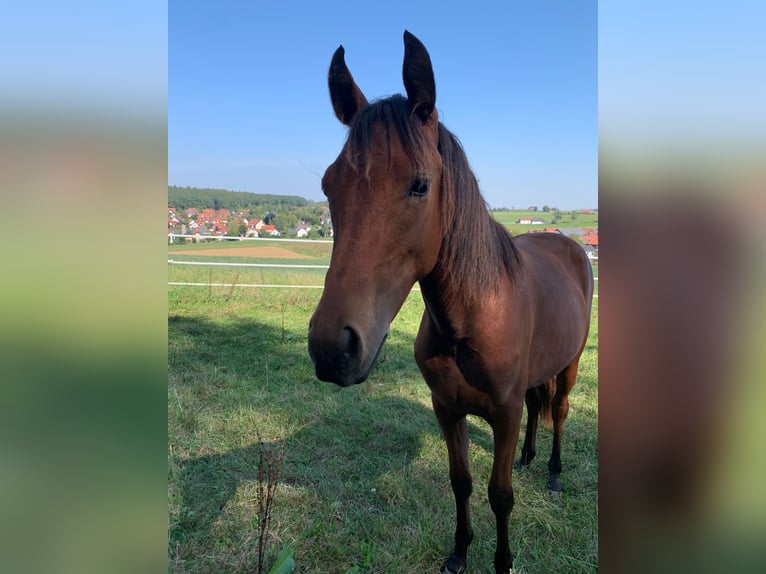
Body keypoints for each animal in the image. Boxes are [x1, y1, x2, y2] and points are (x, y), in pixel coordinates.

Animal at [308, 30, 596, 574]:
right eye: (328, 185)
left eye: (420, 184)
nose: (333, 349)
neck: (473, 318)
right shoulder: (447, 410)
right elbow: (461, 483)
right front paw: (459, 553)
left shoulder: (502, 415)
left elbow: (500, 496)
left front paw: (503, 561)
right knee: (539, 405)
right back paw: (530, 457)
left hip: (569, 364)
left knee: (560, 408)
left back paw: (552, 471)